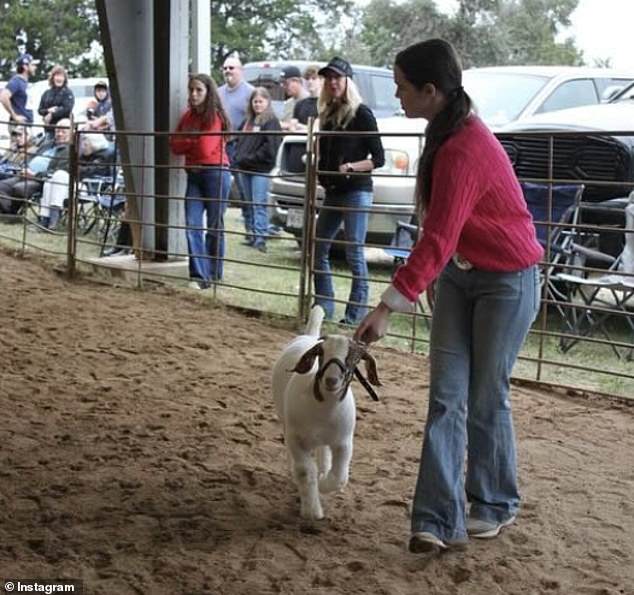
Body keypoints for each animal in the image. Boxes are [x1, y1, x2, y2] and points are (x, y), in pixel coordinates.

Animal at [270, 304, 378, 520]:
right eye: (321, 353)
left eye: (354, 357)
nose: (331, 380)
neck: (323, 408)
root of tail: (310, 336)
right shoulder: (295, 438)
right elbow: (304, 471)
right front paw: (312, 510)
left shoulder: (343, 442)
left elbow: (340, 476)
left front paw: (324, 485)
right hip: (286, 424)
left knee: (323, 452)